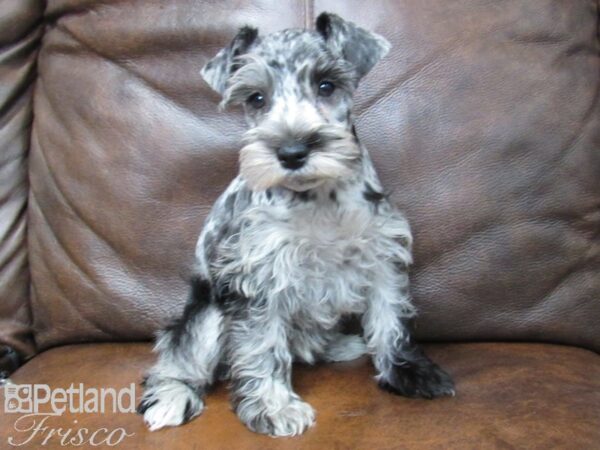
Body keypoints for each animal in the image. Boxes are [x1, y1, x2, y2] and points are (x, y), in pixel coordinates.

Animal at [137, 13, 454, 436]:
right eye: (256, 98)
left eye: (326, 85)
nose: (291, 152)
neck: (318, 197)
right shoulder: (259, 279)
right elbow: (263, 347)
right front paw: (274, 408)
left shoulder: (381, 257)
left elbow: (391, 320)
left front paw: (409, 372)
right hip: (206, 315)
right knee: (178, 359)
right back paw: (173, 396)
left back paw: (340, 344)